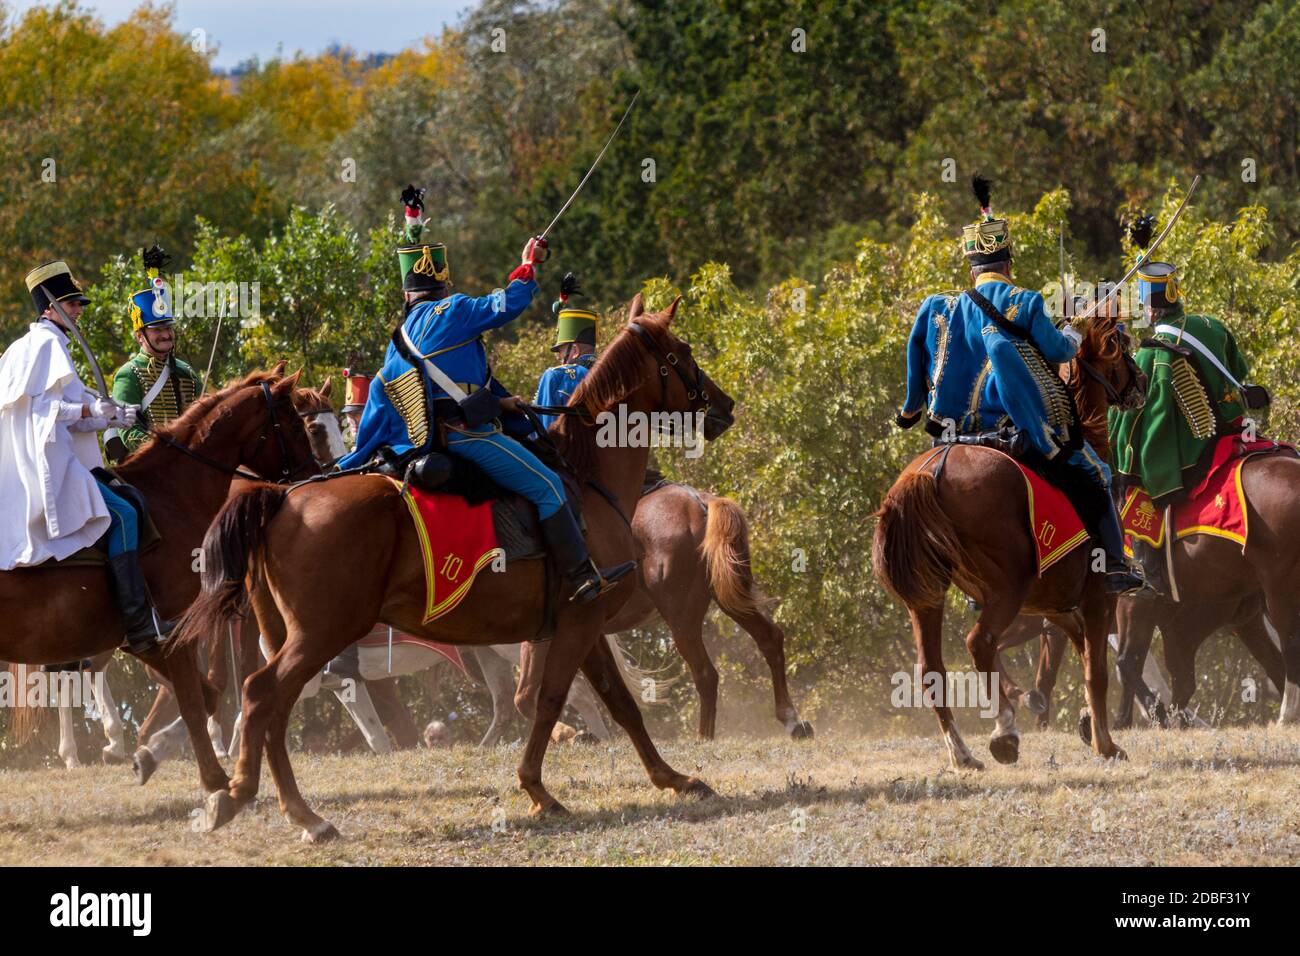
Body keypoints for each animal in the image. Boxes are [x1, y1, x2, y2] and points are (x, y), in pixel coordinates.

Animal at [1, 366, 321, 790]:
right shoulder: (173, 629)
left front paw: (151, 750)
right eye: (298, 427)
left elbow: (205, 694)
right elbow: (193, 698)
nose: (316, 477)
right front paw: (214, 779)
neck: (174, 496)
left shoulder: (145, 638)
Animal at [175, 295, 743, 842]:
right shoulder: (580, 623)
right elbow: (550, 699)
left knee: (272, 707)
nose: (725, 407)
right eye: (683, 352)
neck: (587, 478)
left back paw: (293, 811)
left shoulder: (584, 624)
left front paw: (674, 779)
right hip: (321, 636)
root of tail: (281, 498)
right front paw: (537, 789)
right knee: (261, 695)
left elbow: (618, 703)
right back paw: (252, 801)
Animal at [873, 310, 1138, 775]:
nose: (1140, 384)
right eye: (1122, 348)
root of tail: (930, 472)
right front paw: (1106, 744)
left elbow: (1079, 651)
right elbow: (1097, 670)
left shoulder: (1055, 606)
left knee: (932, 668)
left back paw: (963, 753)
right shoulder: (1096, 599)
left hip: (929, 598)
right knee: (979, 643)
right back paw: (1004, 734)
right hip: (1008, 588)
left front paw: (1086, 722)